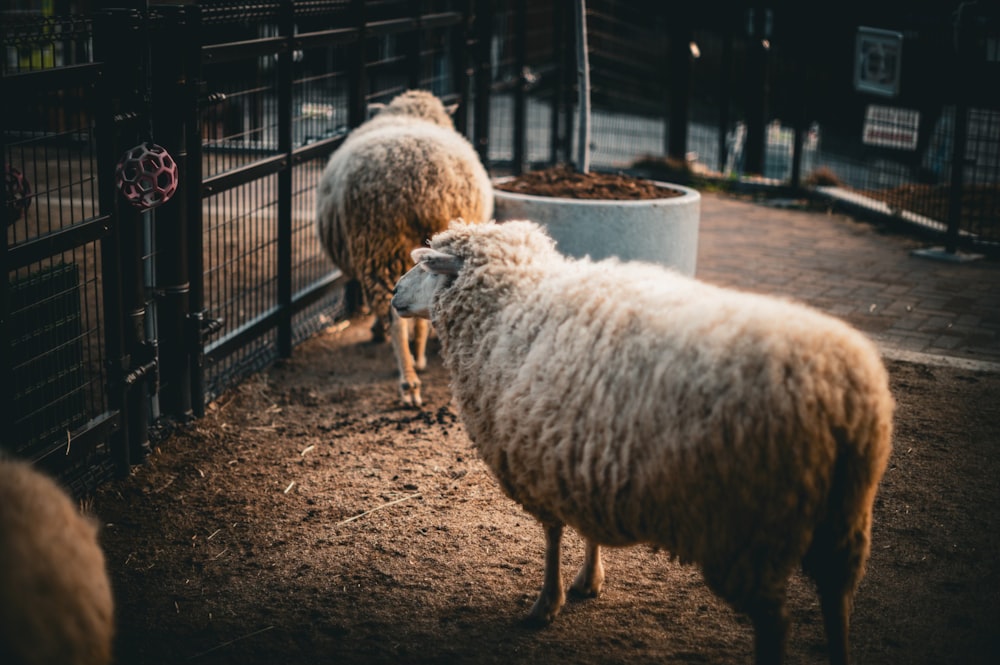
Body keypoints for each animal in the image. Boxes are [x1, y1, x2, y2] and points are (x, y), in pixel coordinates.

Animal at [316, 90, 492, 408]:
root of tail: (420, 182)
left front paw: (377, 331)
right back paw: (418, 360)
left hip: (377, 244)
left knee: (395, 313)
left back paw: (408, 381)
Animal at [390, 219, 892, 664]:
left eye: (427, 267)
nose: (393, 293)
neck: (512, 305)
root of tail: (841, 394)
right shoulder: (580, 452)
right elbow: (583, 528)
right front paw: (588, 580)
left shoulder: (537, 459)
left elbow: (551, 536)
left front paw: (547, 603)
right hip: (845, 518)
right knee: (838, 602)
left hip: (749, 530)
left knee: (776, 624)